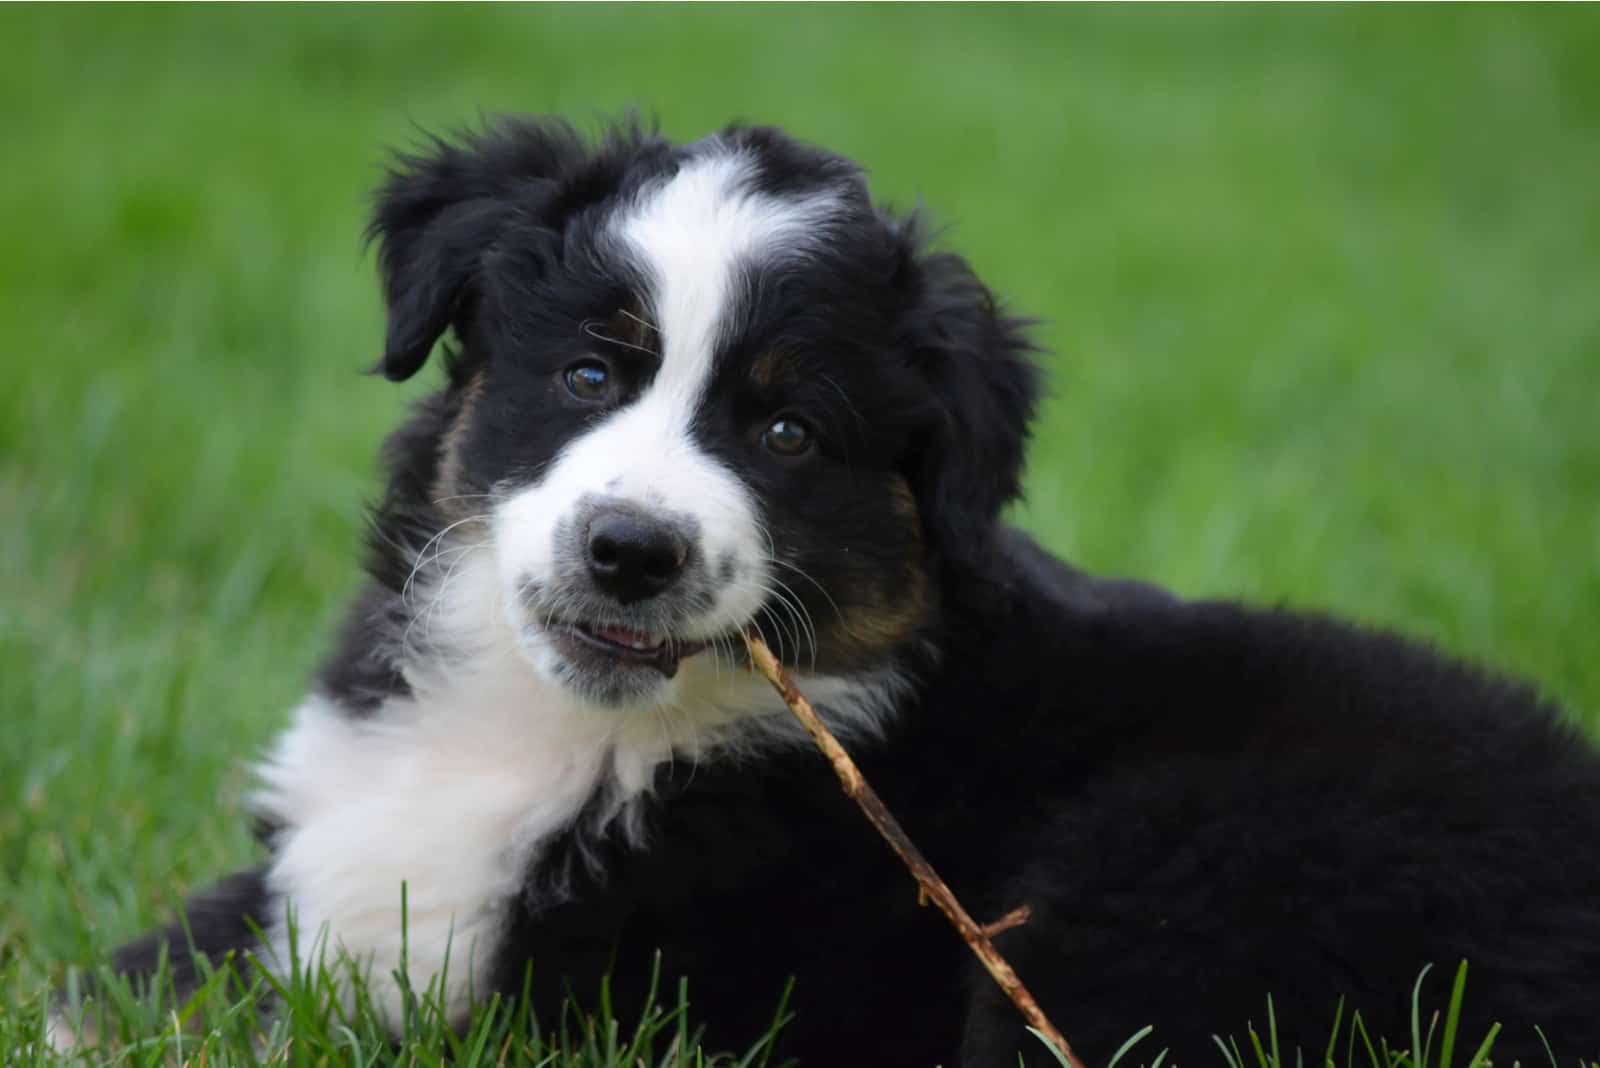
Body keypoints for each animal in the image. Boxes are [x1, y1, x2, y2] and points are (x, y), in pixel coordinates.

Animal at [62, 119, 1600, 1068]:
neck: (567, 734)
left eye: (789, 432)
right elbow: (144, 974)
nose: (633, 550)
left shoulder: (602, 989)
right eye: (589, 372)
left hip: (1173, 877)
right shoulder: (310, 862)